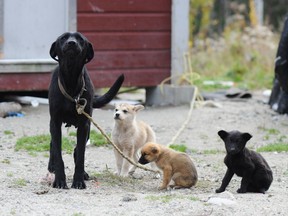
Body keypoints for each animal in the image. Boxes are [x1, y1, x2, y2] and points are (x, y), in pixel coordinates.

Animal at [47, 32, 124, 189]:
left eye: (80, 39)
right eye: (63, 38)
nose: (71, 43)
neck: (71, 81)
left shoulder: (84, 125)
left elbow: (80, 154)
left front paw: (78, 180)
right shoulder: (55, 123)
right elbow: (58, 152)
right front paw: (59, 180)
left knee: (77, 151)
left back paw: (83, 173)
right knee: (53, 145)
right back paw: (51, 166)